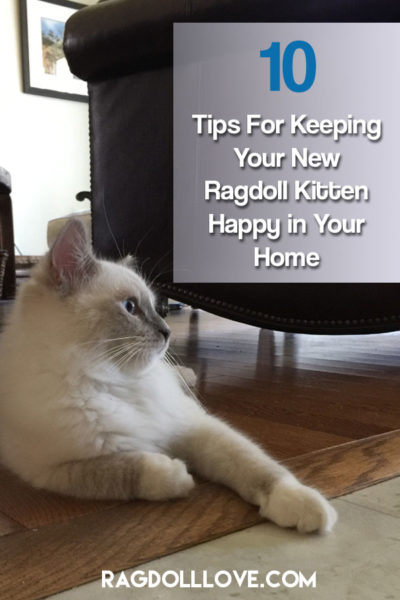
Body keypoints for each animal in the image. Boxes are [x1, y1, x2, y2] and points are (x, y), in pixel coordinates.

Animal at [0, 220, 338, 536]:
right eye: (130, 307)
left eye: (155, 307)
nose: (167, 332)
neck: (117, 381)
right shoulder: (55, 470)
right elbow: (129, 469)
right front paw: (177, 475)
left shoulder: (196, 427)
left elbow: (258, 466)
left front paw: (302, 504)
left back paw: (188, 375)